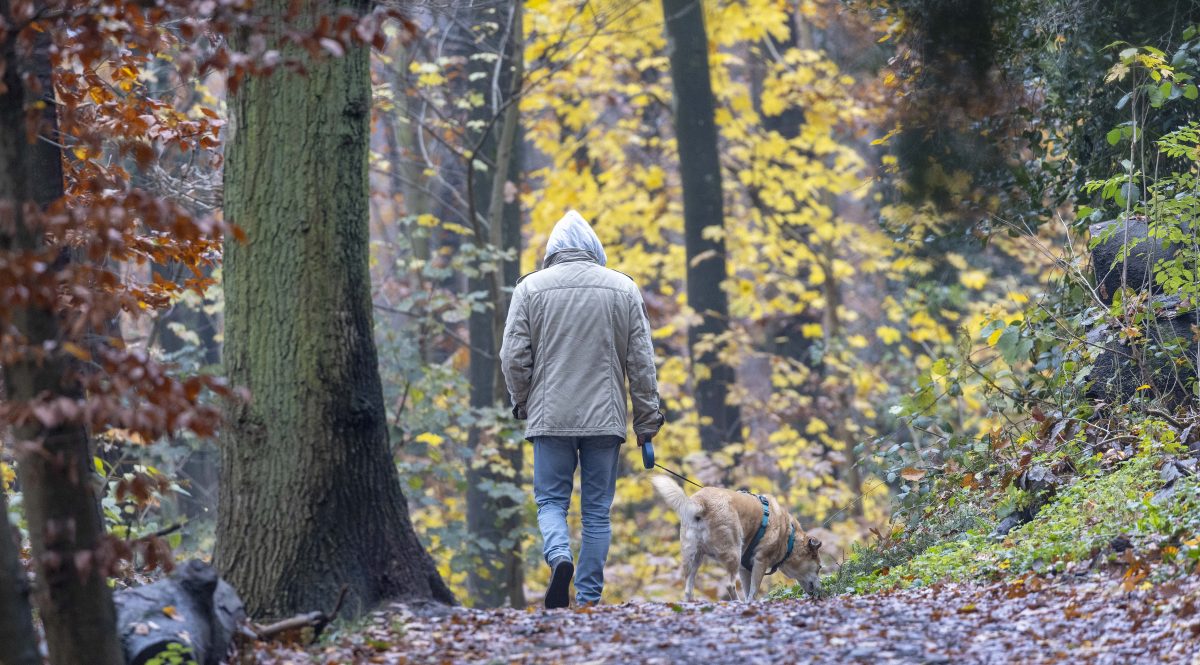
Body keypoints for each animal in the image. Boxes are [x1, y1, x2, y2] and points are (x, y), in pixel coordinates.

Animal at [652, 470, 820, 600]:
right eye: (819, 568)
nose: (821, 592)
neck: (789, 538)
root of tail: (701, 502)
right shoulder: (760, 562)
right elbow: (753, 593)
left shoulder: (744, 569)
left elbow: (748, 591)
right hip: (733, 553)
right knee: (729, 585)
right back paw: (736, 602)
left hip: (693, 557)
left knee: (687, 589)